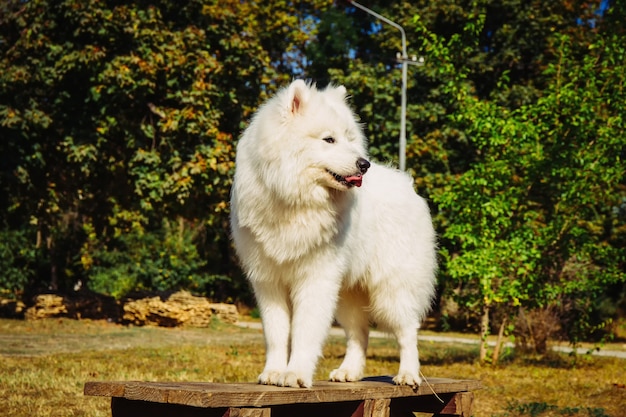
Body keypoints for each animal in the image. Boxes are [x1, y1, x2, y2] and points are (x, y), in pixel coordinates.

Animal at [229, 79, 434, 386]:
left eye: (349, 138)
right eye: (329, 140)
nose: (364, 164)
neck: (295, 201)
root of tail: (408, 186)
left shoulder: (316, 278)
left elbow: (304, 333)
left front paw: (295, 374)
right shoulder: (268, 281)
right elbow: (276, 333)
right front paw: (273, 372)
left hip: (391, 289)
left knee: (408, 331)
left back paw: (408, 375)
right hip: (348, 294)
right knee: (359, 334)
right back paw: (349, 372)